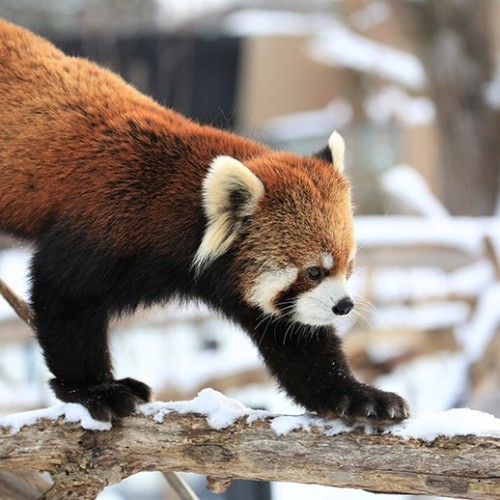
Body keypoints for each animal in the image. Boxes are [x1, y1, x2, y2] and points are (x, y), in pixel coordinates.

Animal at [0, 20, 408, 422]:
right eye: (313, 271)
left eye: (349, 266)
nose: (344, 306)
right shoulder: (100, 224)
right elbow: (63, 299)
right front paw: (96, 389)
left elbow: (298, 344)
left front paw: (359, 395)